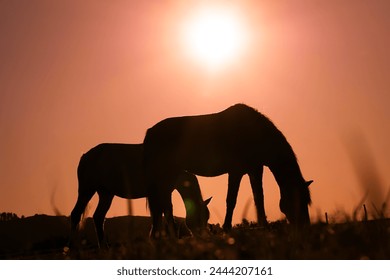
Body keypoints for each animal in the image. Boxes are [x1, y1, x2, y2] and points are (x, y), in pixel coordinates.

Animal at [69, 143, 210, 248]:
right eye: (201, 217)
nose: (203, 236)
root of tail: (85, 156)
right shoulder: (162, 192)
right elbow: (167, 214)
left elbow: (159, 214)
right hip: (87, 189)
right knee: (76, 214)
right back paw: (71, 247)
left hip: (106, 193)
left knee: (98, 216)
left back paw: (104, 247)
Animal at [144, 103, 314, 234]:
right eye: (298, 200)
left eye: (307, 200)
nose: (305, 227)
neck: (253, 132)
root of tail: (150, 132)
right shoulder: (235, 171)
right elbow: (231, 200)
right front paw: (226, 229)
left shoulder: (255, 169)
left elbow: (259, 198)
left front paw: (264, 227)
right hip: (167, 174)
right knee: (163, 203)